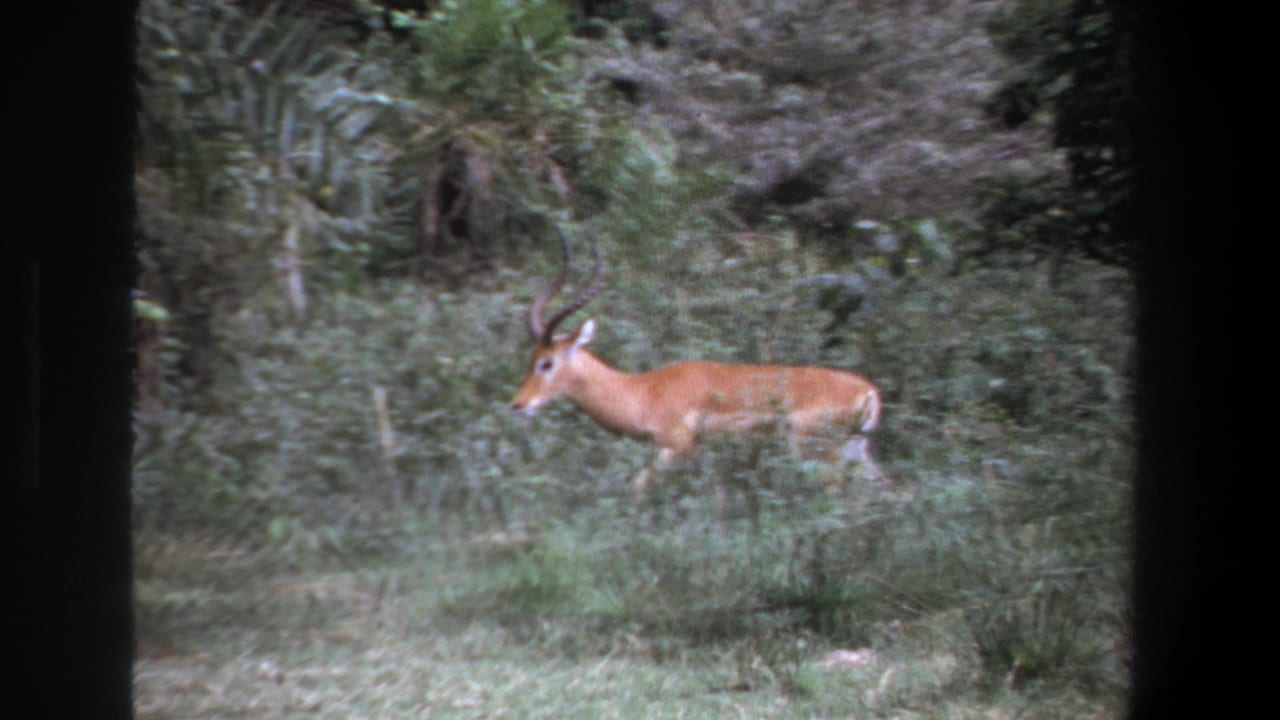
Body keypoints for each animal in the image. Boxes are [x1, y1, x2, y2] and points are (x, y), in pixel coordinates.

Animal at [510, 231, 883, 496]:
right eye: (530, 358)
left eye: (547, 363)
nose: (518, 404)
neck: (642, 391)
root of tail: (869, 391)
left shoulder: (677, 447)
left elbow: (637, 487)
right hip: (857, 453)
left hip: (814, 452)